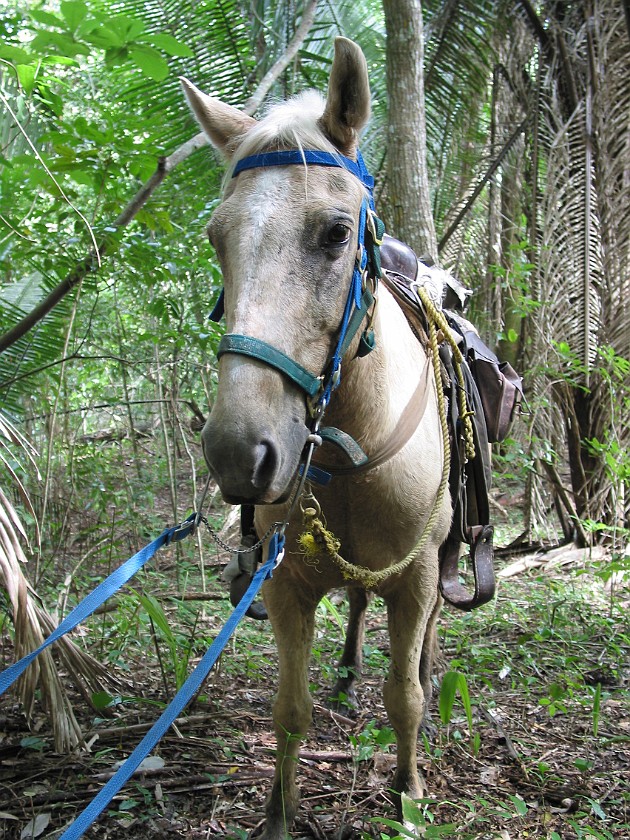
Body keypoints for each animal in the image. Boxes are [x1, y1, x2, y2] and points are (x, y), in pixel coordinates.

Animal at [183, 36, 454, 836]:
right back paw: (346, 673)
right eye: (217, 238)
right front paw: (279, 812)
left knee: (421, 646)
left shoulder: (416, 576)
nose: (240, 454)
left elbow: (404, 698)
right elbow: (290, 710)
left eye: (336, 234)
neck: (350, 451)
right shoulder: (286, 587)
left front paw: (408, 793)